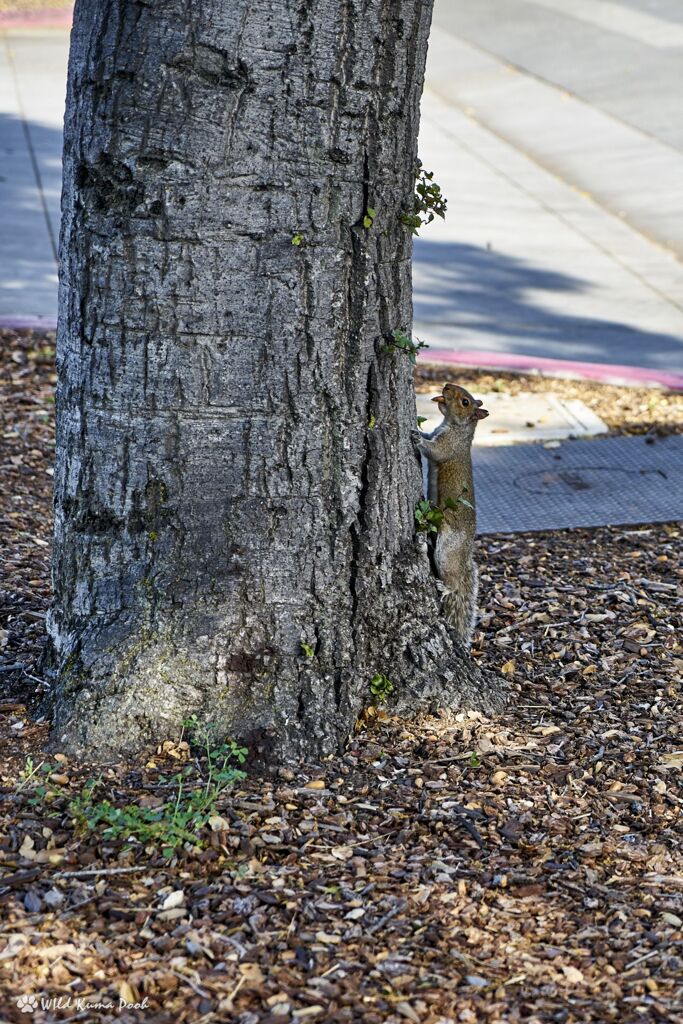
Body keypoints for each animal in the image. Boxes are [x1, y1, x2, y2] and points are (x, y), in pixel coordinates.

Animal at [413, 385, 489, 647]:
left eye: (465, 402)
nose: (446, 386)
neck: (455, 427)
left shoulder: (449, 447)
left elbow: (435, 451)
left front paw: (416, 436)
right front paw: (419, 429)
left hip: (447, 552)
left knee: (453, 582)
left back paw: (445, 587)